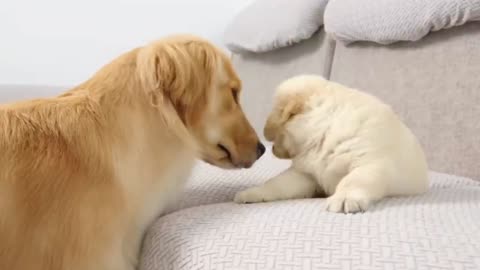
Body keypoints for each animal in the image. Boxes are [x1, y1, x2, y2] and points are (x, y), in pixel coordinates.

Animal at [234, 75, 430, 213]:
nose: (267, 147)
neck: (327, 129)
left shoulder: (369, 164)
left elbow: (352, 181)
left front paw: (344, 198)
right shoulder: (305, 175)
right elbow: (276, 184)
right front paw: (252, 193)